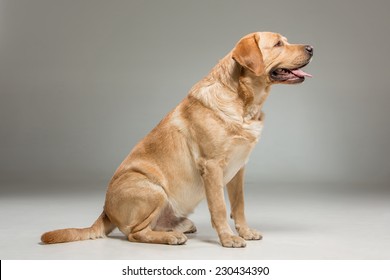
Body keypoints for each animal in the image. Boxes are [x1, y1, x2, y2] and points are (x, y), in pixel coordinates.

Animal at [41, 32, 312, 247]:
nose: (311, 47)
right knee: (134, 233)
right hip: (153, 189)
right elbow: (220, 208)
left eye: (285, 41)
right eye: (278, 44)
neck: (243, 102)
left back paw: (177, 228)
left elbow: (239, 206)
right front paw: (228, 238)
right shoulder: (211, 166)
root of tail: (105, 211)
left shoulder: (239, 169)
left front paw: (244, 231)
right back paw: (170, 237)